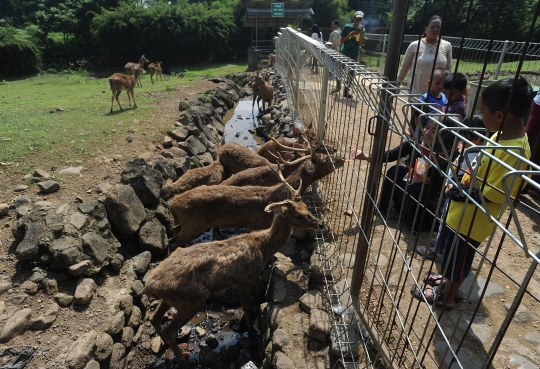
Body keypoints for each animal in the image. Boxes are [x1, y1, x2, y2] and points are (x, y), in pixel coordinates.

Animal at [143, 179, 322, 366]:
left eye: (307, 208)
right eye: (298, 215)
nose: (320, 223)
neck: (262, 247)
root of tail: (149, 286)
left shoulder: (254, 273)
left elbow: (260, 289)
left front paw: (262, 301)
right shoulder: (243, 278)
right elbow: (246, 307)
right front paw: (252, 330)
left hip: (171, 299)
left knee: (154, 318)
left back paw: (164, 345)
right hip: (191, 299)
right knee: (168, 329)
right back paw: (183, 360)